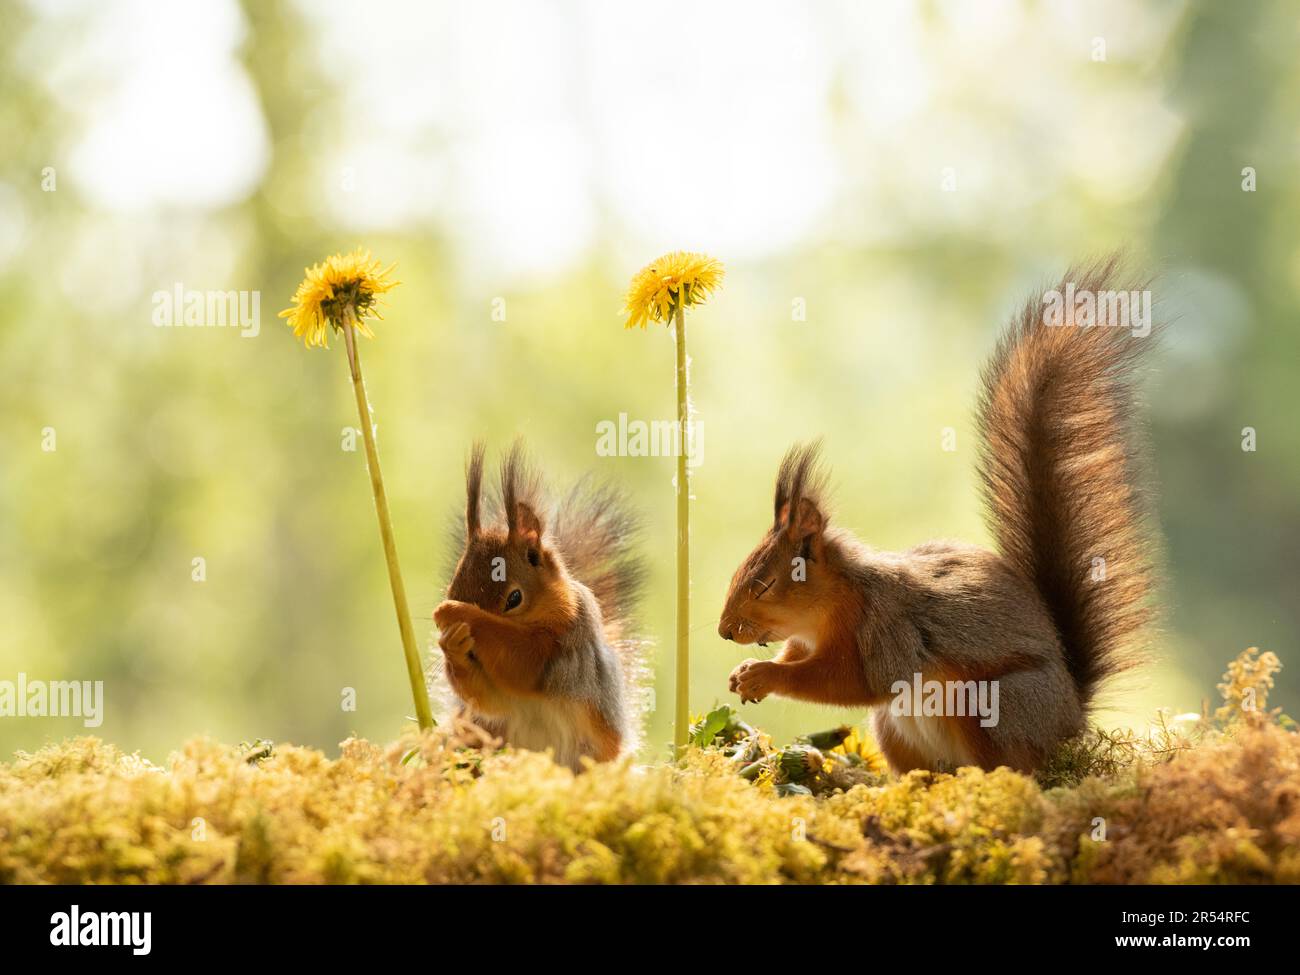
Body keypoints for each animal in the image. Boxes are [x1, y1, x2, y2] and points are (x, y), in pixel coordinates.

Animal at [431, 441, 644, 769]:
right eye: (451, 587)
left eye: (514, 598)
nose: (452, 606)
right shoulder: (499, 701)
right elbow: (487, 699)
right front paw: (451, 643)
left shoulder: (567, 637)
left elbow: (525, 661)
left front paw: (456, 615)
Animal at [722, 260, 1159, 780]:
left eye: (766, 585)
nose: (725, 631)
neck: (832, 604)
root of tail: (1070, 721)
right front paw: (742, 675)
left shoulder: (887, 629)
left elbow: (850, 682)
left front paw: (764, 675)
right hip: (894, 728)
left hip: (992, 706)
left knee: (1013, 765)